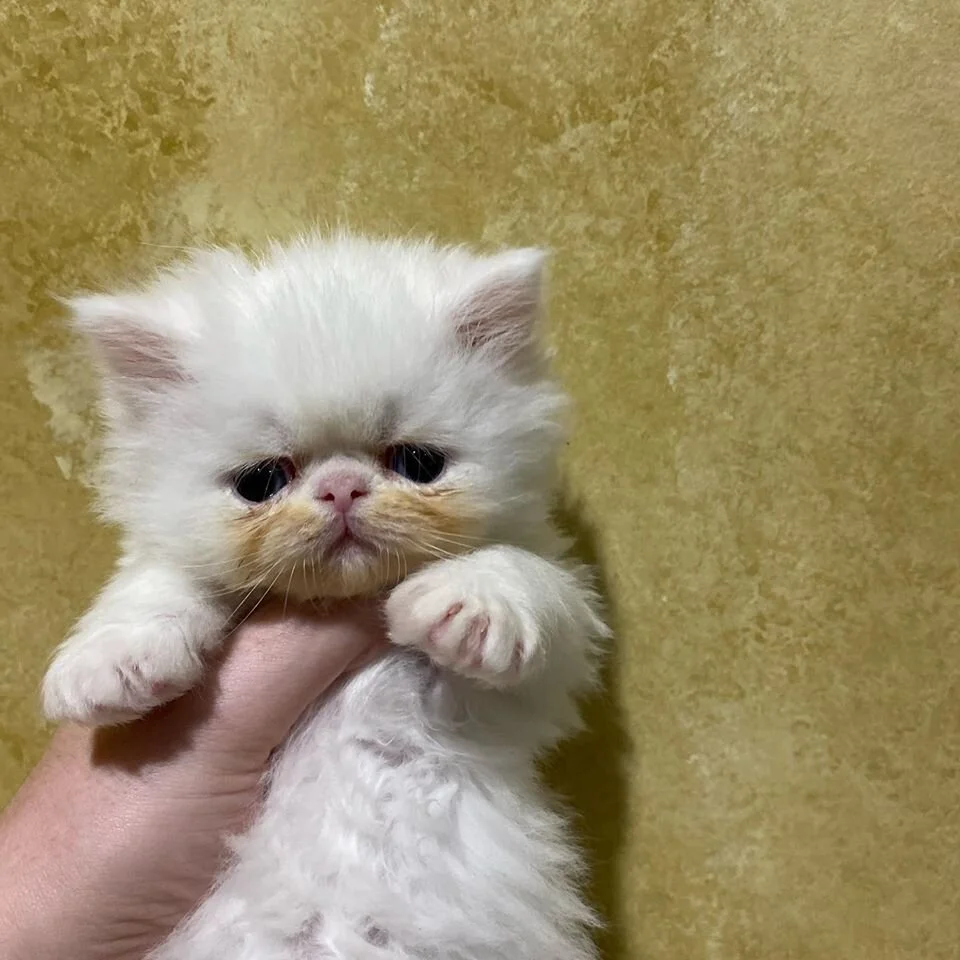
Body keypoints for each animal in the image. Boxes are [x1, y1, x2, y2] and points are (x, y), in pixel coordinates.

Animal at [41, 235, 609, 960]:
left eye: (419, 464)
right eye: (260, 482)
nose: (342, 486)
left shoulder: (546, 669)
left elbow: (522, 572)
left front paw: (473, 605)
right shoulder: (169, 558)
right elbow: (156, 580)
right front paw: (112, 660)